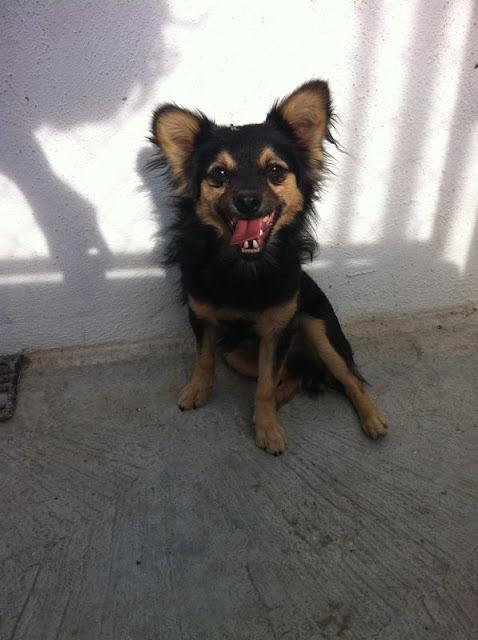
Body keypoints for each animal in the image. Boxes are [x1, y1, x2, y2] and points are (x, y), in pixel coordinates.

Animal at [151, 80, 386, 456]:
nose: (247, 200)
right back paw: (283, 394)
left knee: (348, 378)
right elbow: (205, 358)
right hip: (238, 355)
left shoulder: (278, 330)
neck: (245, 267)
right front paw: (198, 390)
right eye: (218, 174)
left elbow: (263, 384)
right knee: (291, 376)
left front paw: (267, 428)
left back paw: (371, 418)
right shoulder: (201, 316)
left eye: (275, 171)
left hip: (317, 327)